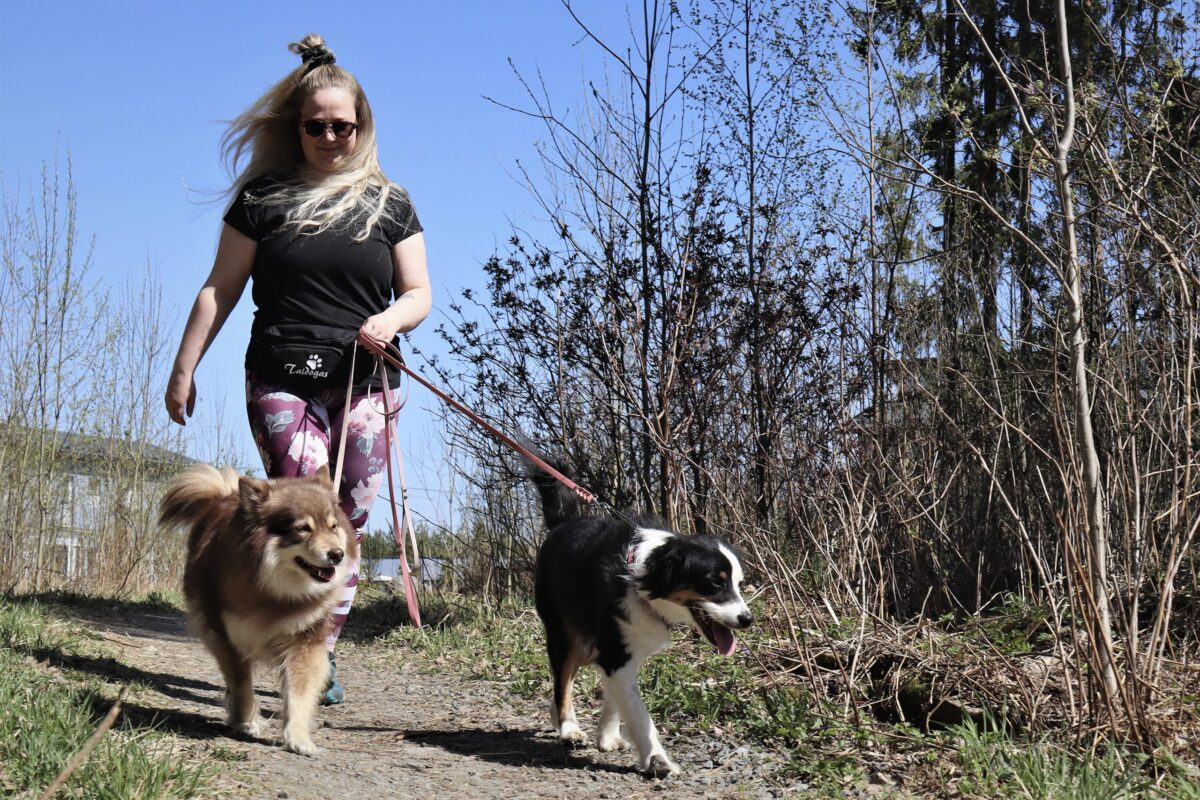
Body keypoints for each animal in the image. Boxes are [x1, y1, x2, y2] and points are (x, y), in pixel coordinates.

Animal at [160, 465, 355, 753]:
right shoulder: (230, 637)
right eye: (302, 529)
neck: (277, 593)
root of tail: (226, 494)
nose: (337, 554)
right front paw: (246, 721)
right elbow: (241, 684)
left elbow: (299, 692)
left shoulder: (305, 640)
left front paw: (298, 737)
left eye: (333, 526)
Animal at [525, 460, 748, 777]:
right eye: (715, 583)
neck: (640, 576)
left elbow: (617, 697)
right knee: (563, 678)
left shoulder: (624, 648)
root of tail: (561, 524)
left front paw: (607, 735)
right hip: (563, 633)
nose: (746, 619)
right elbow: (638, 712)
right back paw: (568, 727)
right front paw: (657, 758)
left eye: (739, 584)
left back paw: (558, 717)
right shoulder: (613, 650)